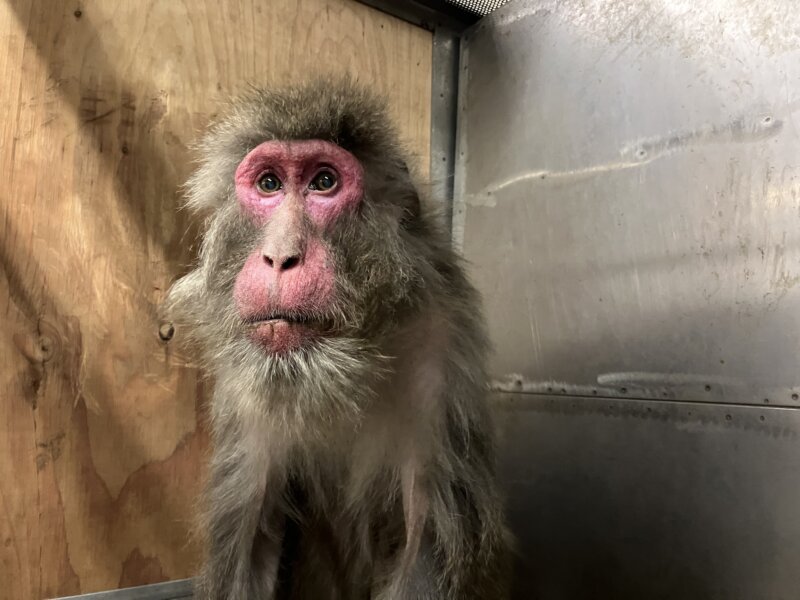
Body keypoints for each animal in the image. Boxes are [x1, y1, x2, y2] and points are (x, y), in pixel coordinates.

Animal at [164, 78, 511, 600]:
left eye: (324, 182)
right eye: (269, 184)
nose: (279, 257)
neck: (336, 365)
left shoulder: (441, 348)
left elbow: (424, 539)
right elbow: (248, 537)